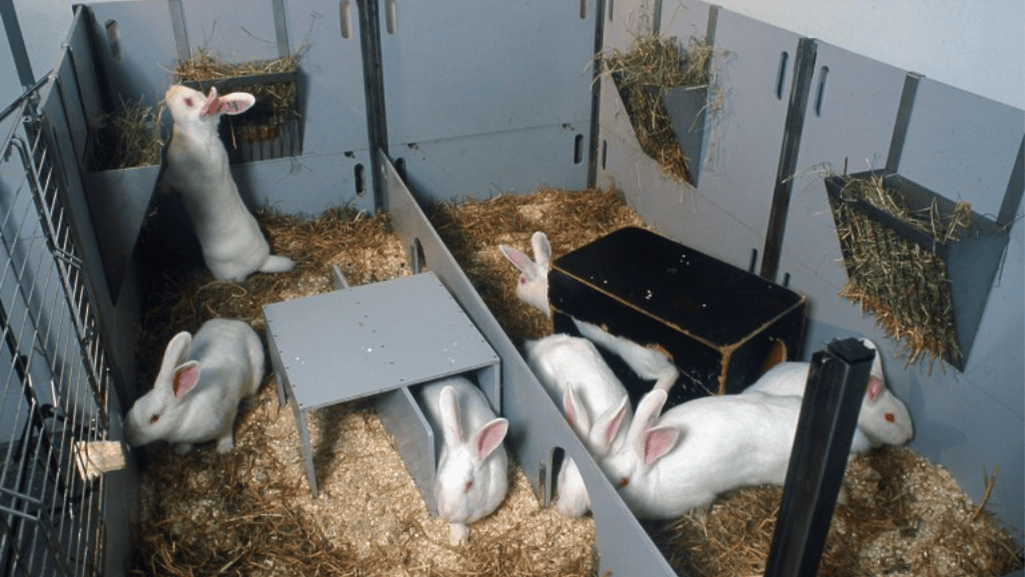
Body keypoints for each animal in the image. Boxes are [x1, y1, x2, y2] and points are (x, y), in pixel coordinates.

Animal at [124, 318, 264, 454]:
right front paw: (181, 450)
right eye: (135, 404)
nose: (128, 437)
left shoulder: (227, 416)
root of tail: (233, 322)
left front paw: (224, 448)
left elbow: (225, 433)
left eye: (154, 418)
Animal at [158, 84, 295, 281]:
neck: (198, 137)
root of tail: (262, 262)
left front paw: (157, 191)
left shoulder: (174, 177)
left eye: (188, 102)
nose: (171, 88)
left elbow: (166, 184)